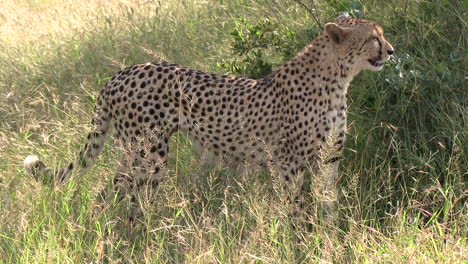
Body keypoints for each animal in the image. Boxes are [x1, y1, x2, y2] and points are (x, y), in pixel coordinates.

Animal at [23, 14, 394, 210]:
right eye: (374, 38)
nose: (391, 51)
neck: (338, 77)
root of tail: (122, 72)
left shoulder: (330, 156)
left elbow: (328, 201)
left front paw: (328, 235)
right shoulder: (290, 160)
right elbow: (296, 205)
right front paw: (301, 238)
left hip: (133, 150)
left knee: (113, 187)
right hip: (149, 152)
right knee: (132, 191)